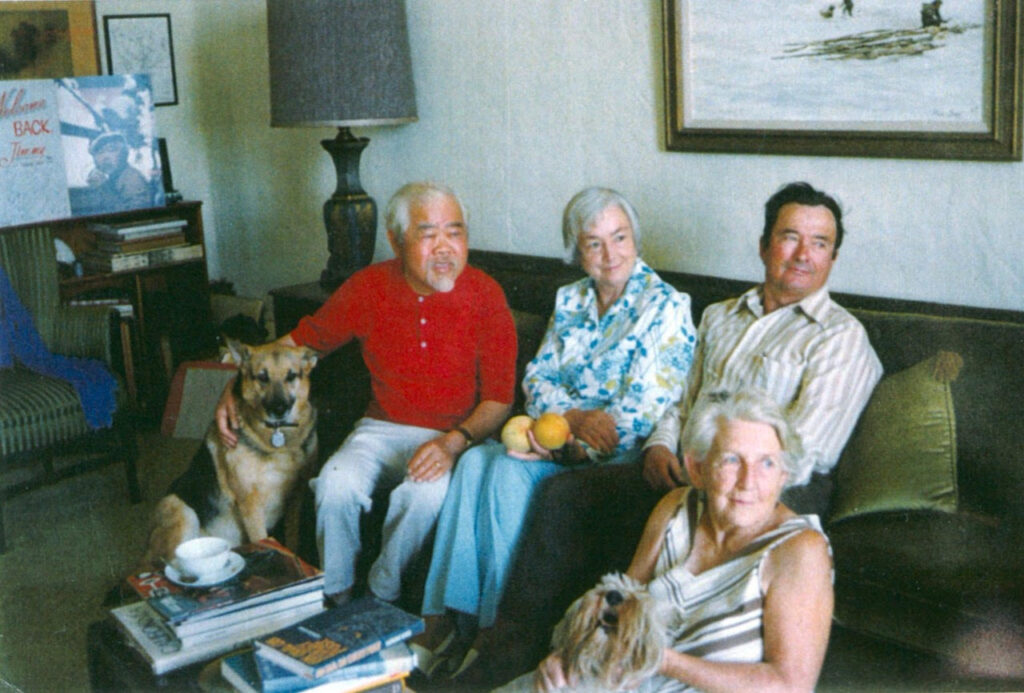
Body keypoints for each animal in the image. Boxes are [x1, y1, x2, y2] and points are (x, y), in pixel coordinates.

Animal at [140, 339, 315, 569]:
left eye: (291, 376)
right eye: (262, 377)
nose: (278, 409)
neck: (277, 440)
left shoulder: (296, 498)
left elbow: (293, 541)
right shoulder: (251, 505)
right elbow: (262, 537)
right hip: (182, 510)